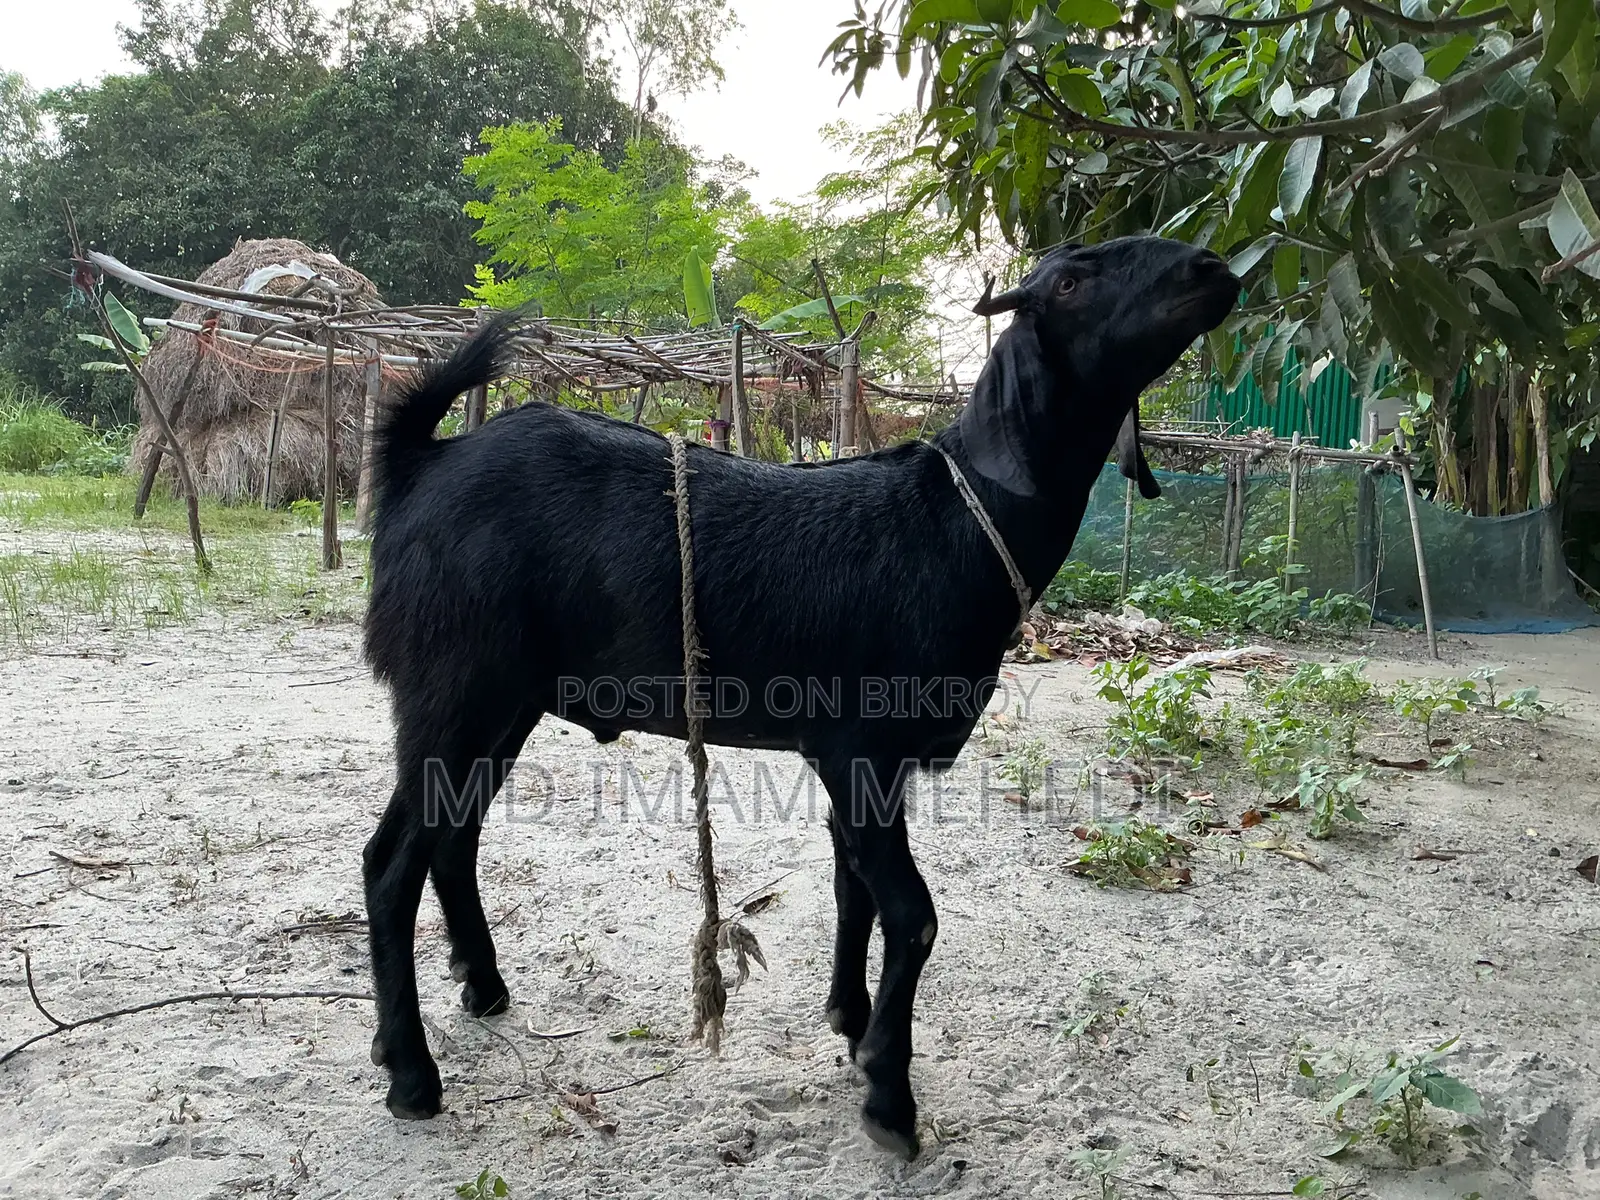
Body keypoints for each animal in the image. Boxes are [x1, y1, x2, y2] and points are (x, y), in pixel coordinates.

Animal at [359, 235, 1238, 1157]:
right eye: (1068, 283)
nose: (1212, 270)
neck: (961, 521)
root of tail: (422, 462)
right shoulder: (862, 749)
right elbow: (912, 913)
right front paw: (890, 1095)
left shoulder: (854, 760)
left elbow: (856, 887)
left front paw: (850, 1021)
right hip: (455, 686)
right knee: (391, 862)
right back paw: (412, 1075)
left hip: (499, 702)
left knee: (453, 839)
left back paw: (482, 985)